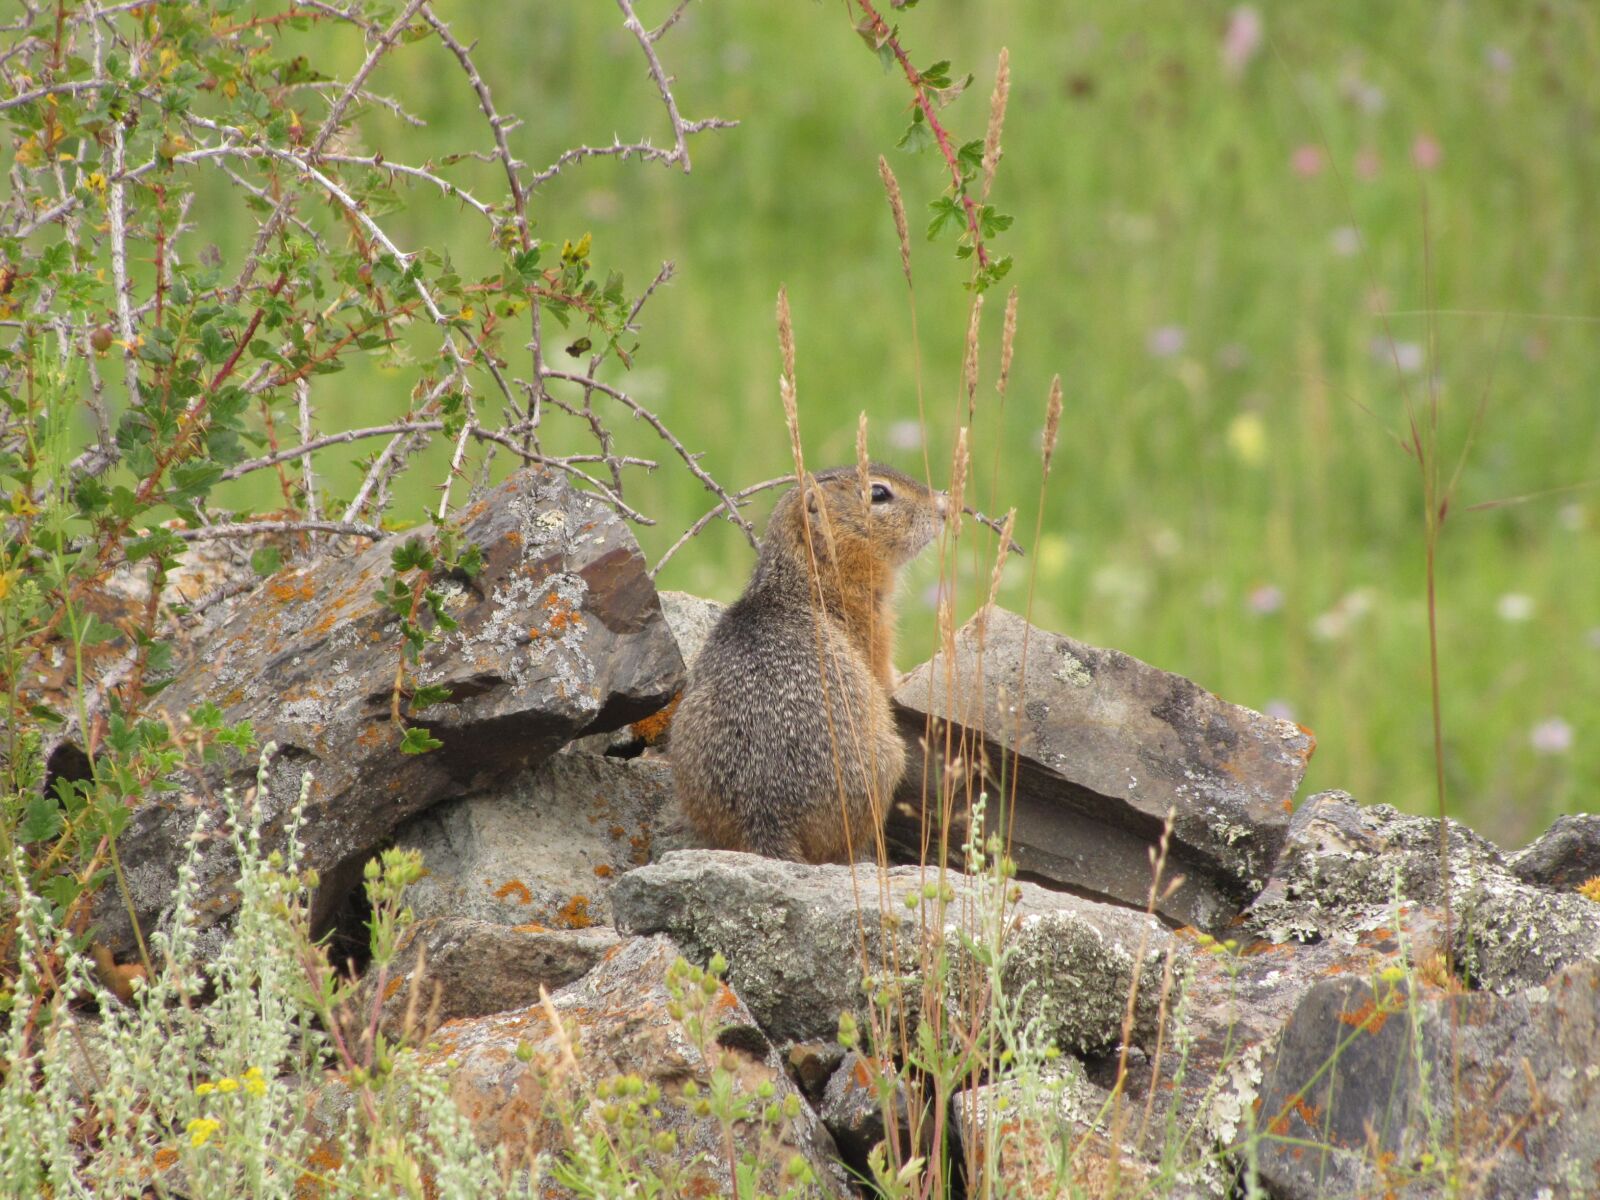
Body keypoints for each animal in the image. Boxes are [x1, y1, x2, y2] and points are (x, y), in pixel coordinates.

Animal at [665, 460, 940, 864]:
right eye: (879, 493)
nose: (944, 505)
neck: (804, 575)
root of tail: (767, 816)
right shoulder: (874, 626)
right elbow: (885, 674)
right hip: (888, 759)